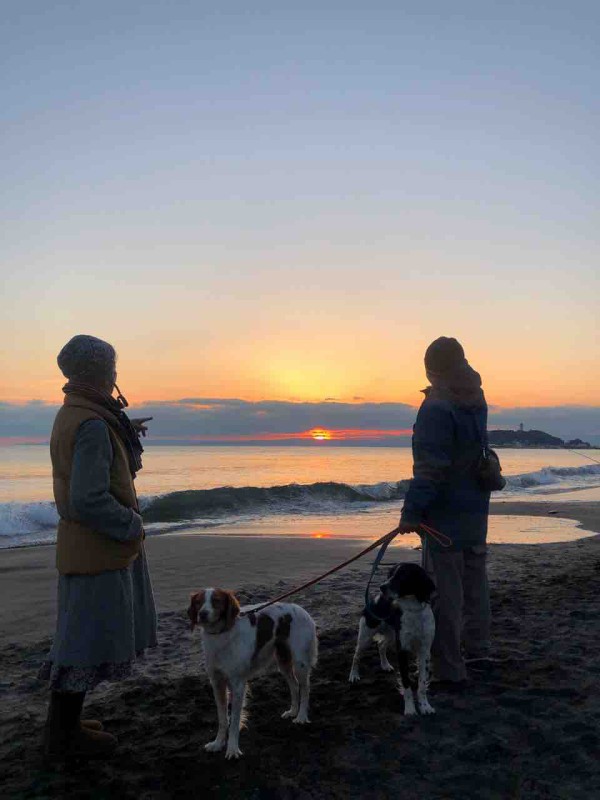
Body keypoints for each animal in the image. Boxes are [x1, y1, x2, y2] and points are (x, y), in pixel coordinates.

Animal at [346, 560, 436, 716]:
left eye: (403, 575)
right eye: (390, 574)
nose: (382, 587)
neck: (413, 610)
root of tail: (375, 598)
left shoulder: (425, 650)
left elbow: (422, 683)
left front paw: (425, 706)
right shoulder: (403, 650)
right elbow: (406, 683)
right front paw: (410, 709)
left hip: (391, 634)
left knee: (381, 646)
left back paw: (385, 665)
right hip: (366, 636)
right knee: (356, 655)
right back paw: (354, 675)